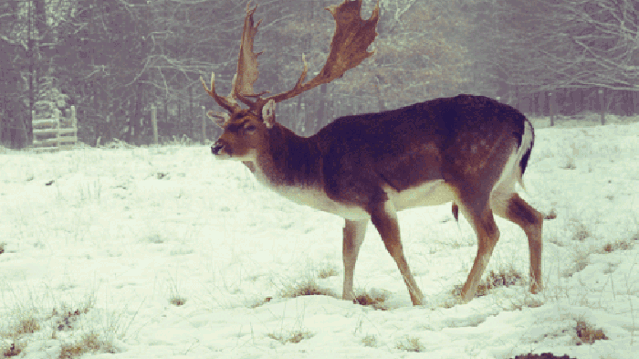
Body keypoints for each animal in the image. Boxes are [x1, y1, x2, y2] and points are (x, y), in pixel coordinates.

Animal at [202, 0, 544, 306]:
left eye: (248, 126)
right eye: (227, 123)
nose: (215, 147)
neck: (317, 170)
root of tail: (523, 122)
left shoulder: (375, 196)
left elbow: (395, 249)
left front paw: (420, 300)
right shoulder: (353, 213)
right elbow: (348, 255)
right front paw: (347, 301)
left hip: (473, 179)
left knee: (490, 233)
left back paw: (463, 296)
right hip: (500, 186)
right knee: (534, 218)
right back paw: (535, 290)